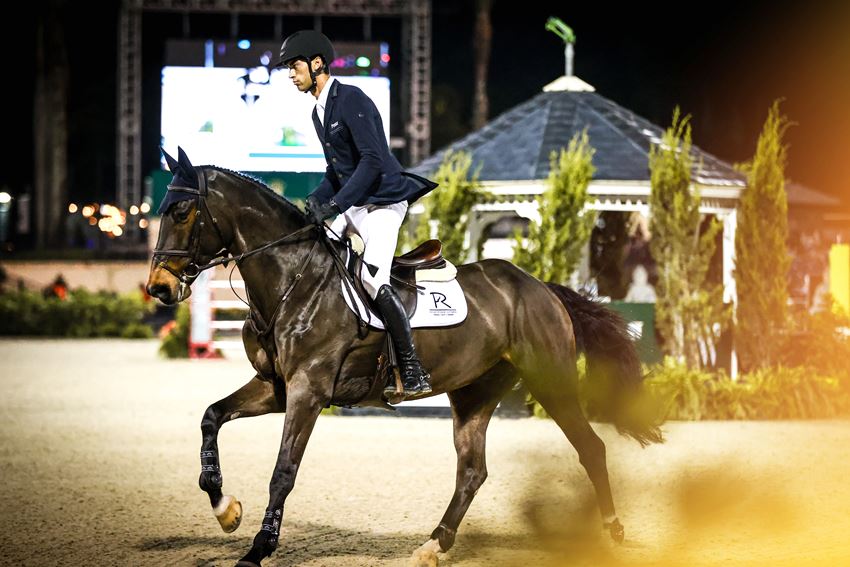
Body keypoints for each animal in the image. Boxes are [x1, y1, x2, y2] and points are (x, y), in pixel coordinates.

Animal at [146, 150, 664, 567]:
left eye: (183, 211)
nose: (159, 288)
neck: (292, 279)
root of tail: (541, 287)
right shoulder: (277, 387)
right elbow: (212, 416)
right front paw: (225, 510)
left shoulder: (308, 390)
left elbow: (283, 472)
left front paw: (258, 549)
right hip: (474, 392)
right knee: (472, 470)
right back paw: (434, 544)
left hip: (550, 380)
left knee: (590, 449)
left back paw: (612, 533)